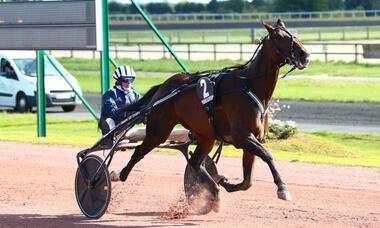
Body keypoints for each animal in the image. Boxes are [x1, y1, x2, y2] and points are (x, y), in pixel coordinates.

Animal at [111, 19, 310, 201]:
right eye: (279, 37)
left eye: (294, 35)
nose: (305, 55)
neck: (250, 86)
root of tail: (164, 86)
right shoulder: (242, 136)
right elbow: (267, 155)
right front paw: (282, 188)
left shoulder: (253, 137)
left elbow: (247, 181)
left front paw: (225, 182)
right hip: (159, 129)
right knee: (139, 151)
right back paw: (118, 175)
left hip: (206, 135)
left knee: (195, 162)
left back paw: (213, 187)